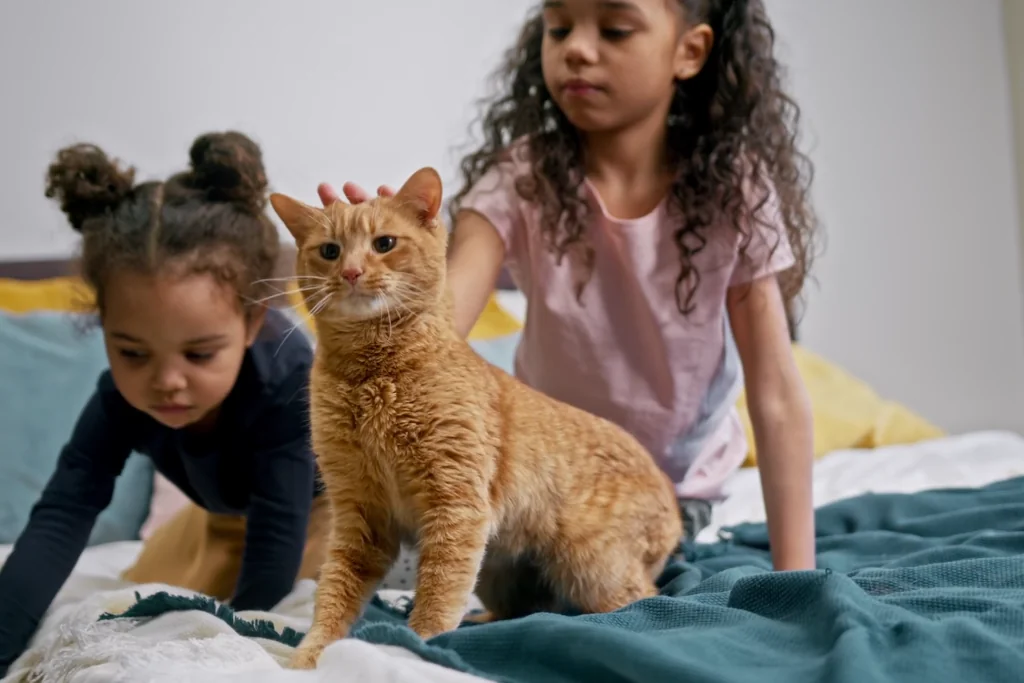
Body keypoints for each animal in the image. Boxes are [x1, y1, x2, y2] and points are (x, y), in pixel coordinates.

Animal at [272, 167, 684, 671]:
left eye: (384, 243)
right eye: (329, 251)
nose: (350, 272)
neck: (373, 376)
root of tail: (671, 503)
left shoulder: (455, 504)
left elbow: (437, 592)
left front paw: (414, 645)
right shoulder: (360, 516)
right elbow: (333, 595)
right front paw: (308, 655)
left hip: (592, 567)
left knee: (643, 600)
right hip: (497, 569)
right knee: (525, 609)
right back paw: (482, 623)